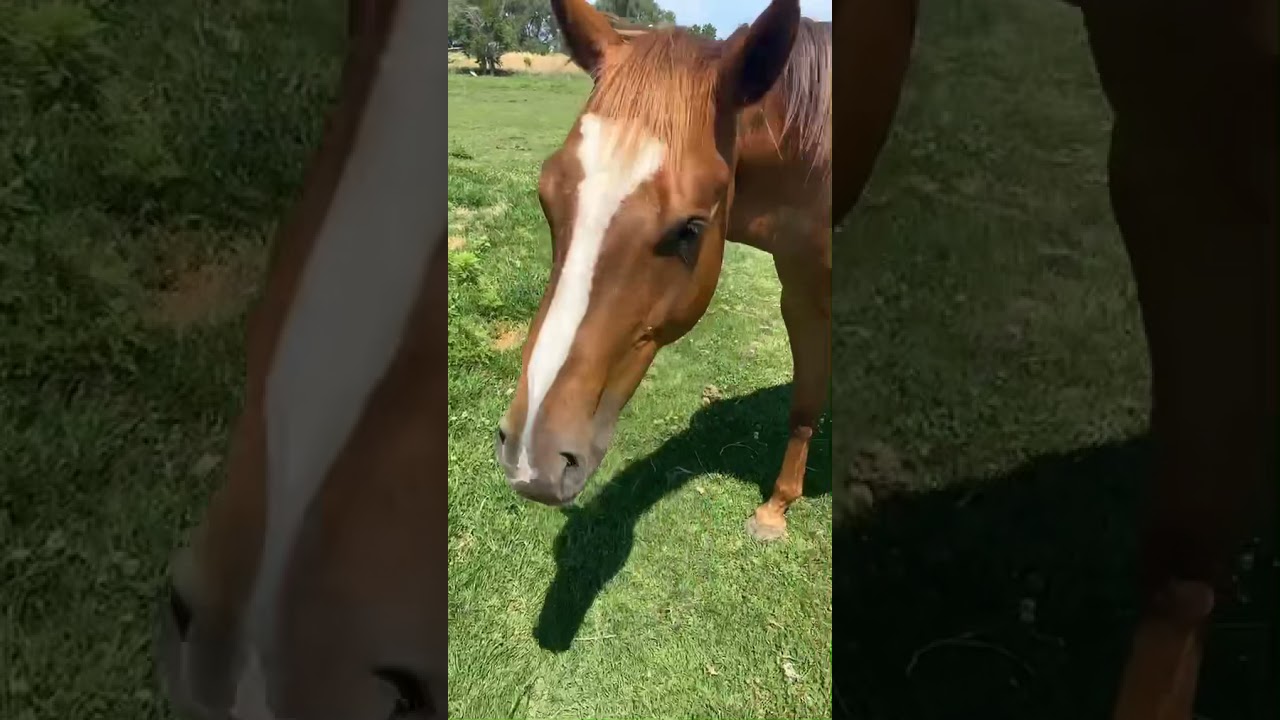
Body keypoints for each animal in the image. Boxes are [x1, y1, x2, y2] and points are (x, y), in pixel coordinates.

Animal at [495, 0, 834, 544]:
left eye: (690, 229)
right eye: (546, 198)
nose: (531, 458)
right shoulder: (801, 296)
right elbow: (805, 402)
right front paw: (775, 508)